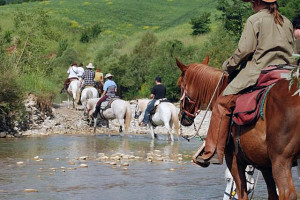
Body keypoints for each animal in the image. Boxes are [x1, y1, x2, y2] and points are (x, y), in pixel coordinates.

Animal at [176, 57, 300, 200]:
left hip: (281, 161)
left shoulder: (234, 160)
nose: (182, 117)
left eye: (180, 86)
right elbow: (272, 194)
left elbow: (243, 194)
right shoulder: (265, 164)